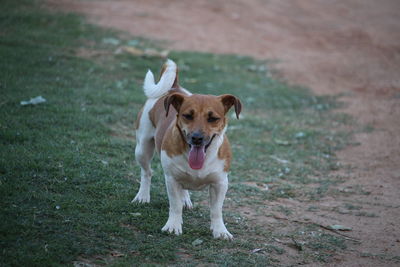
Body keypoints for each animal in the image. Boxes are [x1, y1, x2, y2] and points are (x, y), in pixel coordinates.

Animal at [133, 59, 242, 240]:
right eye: (187, 116)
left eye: (213, 118)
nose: (197, 138)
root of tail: (173, 88)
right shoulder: (171, 180)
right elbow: (175, 205)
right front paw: (173, 226)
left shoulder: (220, 183)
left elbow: (216, 210)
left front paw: (220, 230)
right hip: (142, 149)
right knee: (147, 172)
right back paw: (142, 196)